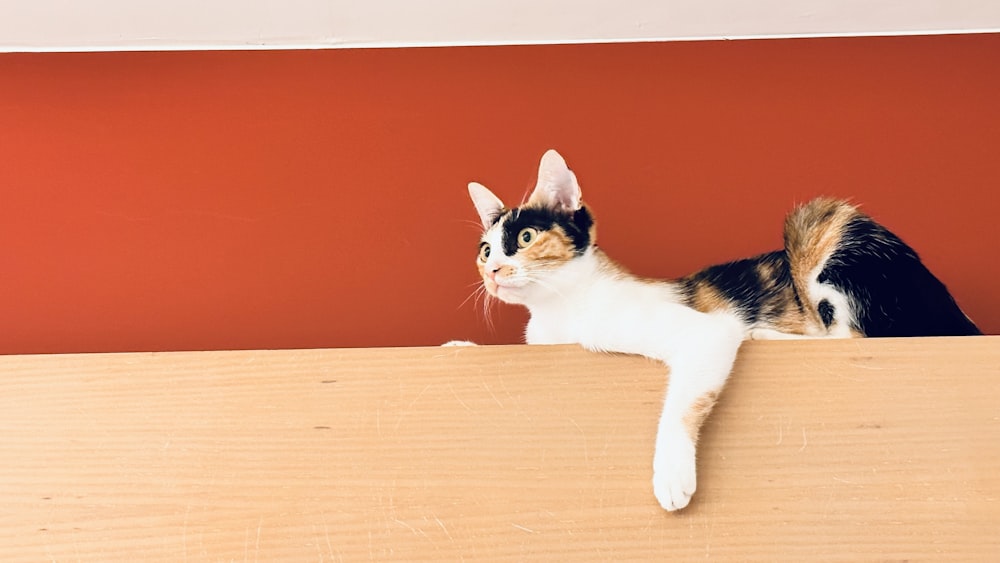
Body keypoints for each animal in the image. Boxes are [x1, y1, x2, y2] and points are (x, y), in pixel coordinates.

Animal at [464, 149, 980, 512]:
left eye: (526, 238)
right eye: (486, 250)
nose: (494, 272)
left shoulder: (702, 332)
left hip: (819, 224)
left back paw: (765, 334)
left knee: (850, 337)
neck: (560, 312)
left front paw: (671, 476)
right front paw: (461, 343)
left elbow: (683, 399)